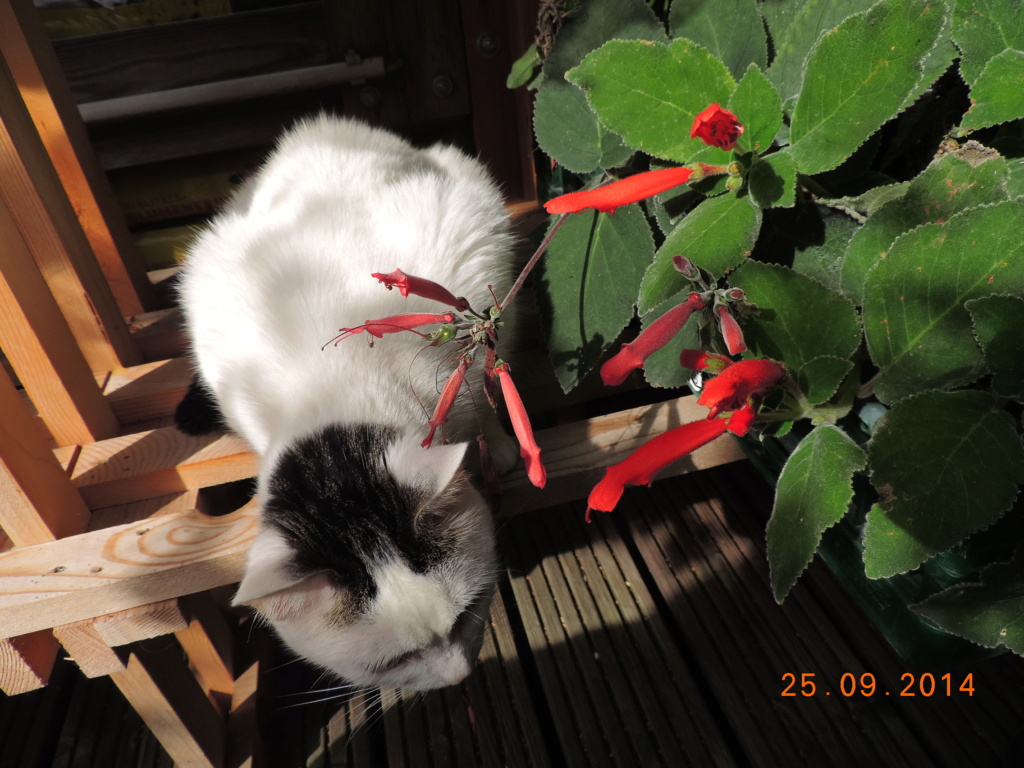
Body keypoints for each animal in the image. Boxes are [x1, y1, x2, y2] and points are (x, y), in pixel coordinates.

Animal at [174, 114, 520, 692]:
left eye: (467, 615)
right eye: (393, 662)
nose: (458, 678)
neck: (325, 386)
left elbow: (486, 389)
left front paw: (501, 445)